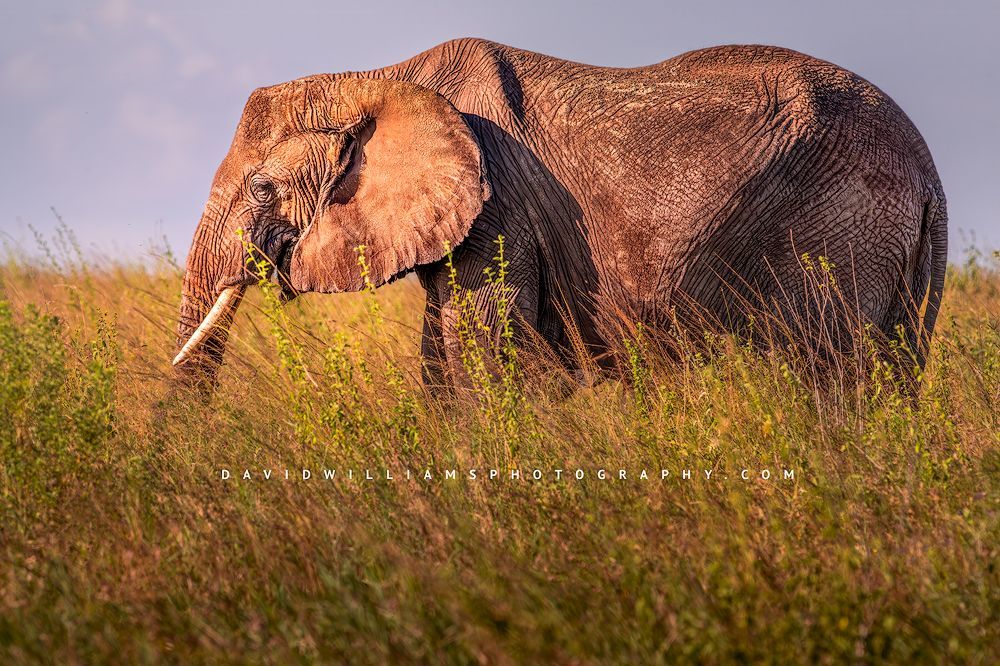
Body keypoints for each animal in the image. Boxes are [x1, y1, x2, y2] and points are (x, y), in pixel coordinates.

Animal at [173, 38, 947, 392]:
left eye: (262, 189)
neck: (381, 79)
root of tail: (927, 169)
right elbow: (442, 358)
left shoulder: (498, 210)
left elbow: (483, 357)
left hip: (842, 227)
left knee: (831, 377)